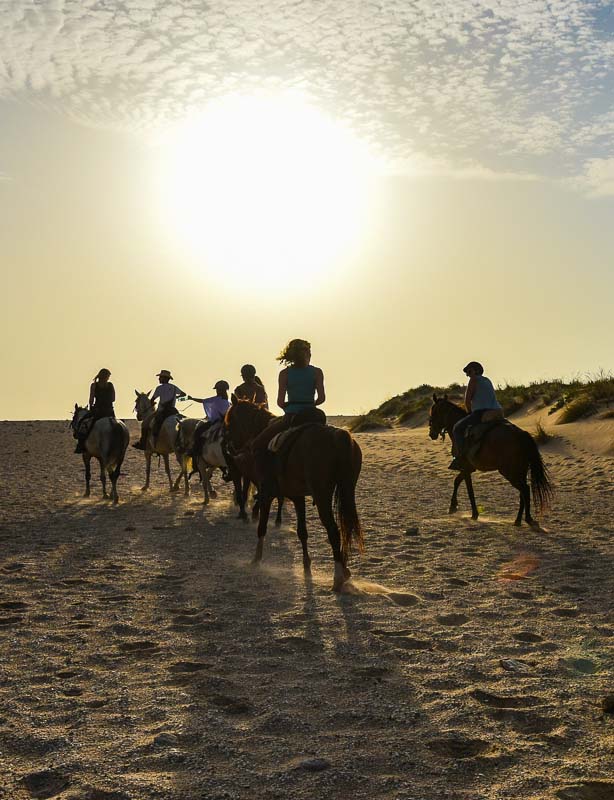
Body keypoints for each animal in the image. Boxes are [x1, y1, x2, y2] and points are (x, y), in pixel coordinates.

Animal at [225, 399, 363, 591]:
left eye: (230, 422)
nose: (229, 446)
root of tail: (338, 437)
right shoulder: (298, 497)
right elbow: (302, 532)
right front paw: (306, 566)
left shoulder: (266, 493)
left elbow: (262, 527)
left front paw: (256, 559)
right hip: (347, 490)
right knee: (344, 528)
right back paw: (345, 571)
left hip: (322, 495)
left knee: (334, 531)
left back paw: (338, 577)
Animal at [428, 394, 553, 527]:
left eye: (433, 412)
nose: (431, 434)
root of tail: (521, 435)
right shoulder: (469, 469)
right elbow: (457, 481)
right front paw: (454, 506)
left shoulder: (466, 468)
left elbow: (468, 490)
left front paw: (472, 513)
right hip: (521, 470)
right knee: (523, 492)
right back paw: (519, 520)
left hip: (509, 472)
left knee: (525, 490)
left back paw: (526, 519)